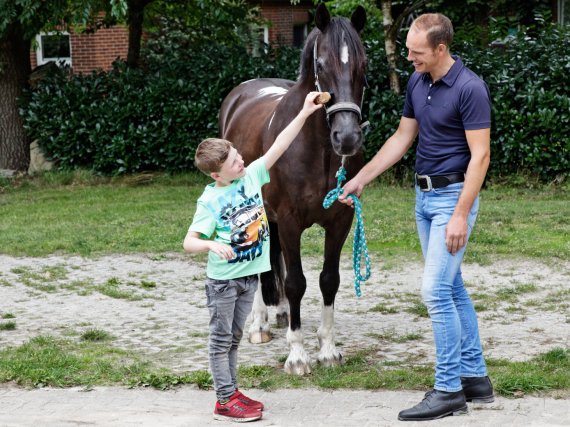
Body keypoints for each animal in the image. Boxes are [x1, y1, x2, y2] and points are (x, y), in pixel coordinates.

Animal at [217, 4, 368, 378]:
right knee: (261, 268)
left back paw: (282, 312)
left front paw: (327, 349)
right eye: (321, 65)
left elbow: (329, 279)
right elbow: (297, 281)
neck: (317, 148)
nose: (347, 137)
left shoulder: (340, 220)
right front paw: (297, 355)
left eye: (363, 65)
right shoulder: (288, 221)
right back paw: (259, 325)